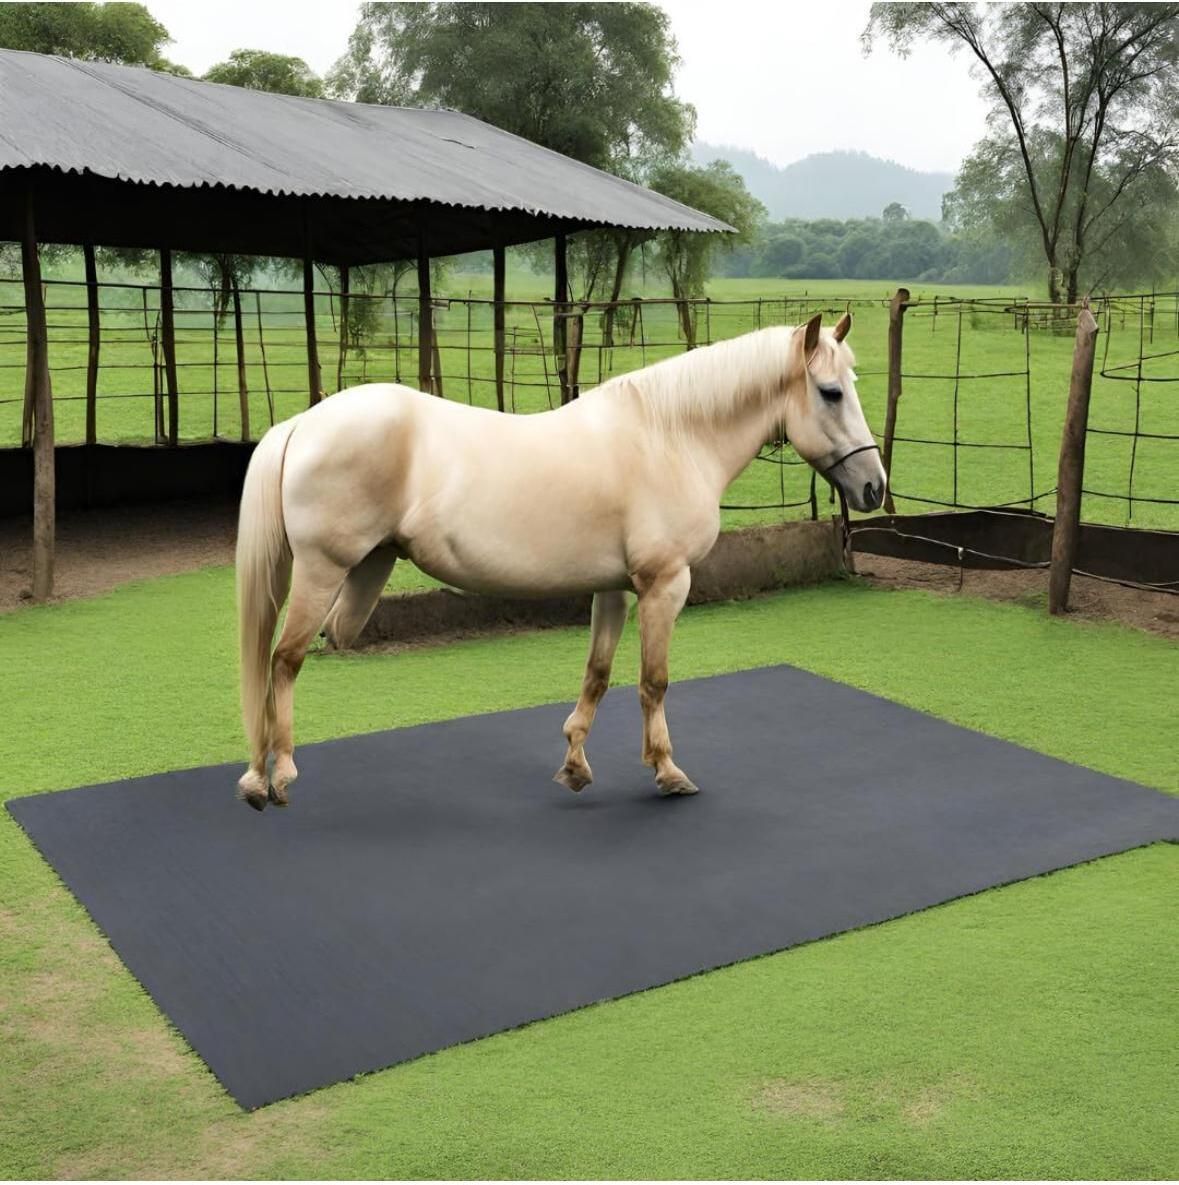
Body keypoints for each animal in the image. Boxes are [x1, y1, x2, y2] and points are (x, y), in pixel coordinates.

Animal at [235, 311, 886, 810]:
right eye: (831, 392)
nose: (875, 487)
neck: (670, 438)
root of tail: (304, 422)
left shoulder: (615, 588)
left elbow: (597, 674)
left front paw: (575, 763)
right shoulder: (665, 585)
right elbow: (654, 681)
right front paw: (667, 770)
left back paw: (258, 776)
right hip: (321, 573)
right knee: (283, 661)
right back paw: (277, 776)